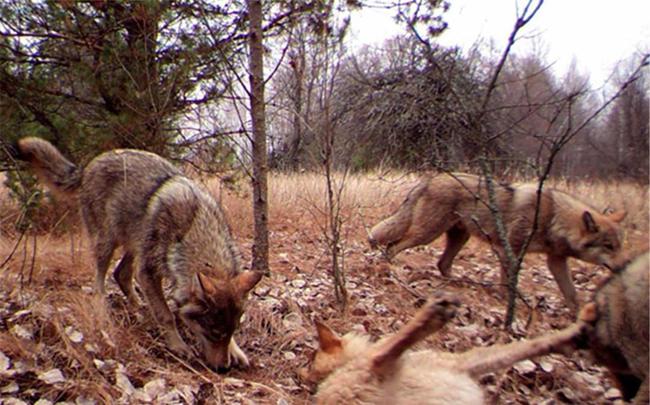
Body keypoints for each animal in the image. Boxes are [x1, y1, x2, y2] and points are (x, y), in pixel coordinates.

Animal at [15, 137, 258, 370]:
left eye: (232, 331)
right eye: (214, 333)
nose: (223, 368)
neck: (194, 228)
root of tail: (90, 164)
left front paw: (236, 352)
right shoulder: (148, 272)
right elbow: (166, 315)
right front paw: (178, 346)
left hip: (135, 244)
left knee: (120, 274)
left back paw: (139, 307)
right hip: (108, 242)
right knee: (100, 281)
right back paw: (103, 309)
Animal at [302, 292, 588, 402]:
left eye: (310, 358)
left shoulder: (463, 363)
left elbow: (527, 345)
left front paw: (574, 333)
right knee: (385, 353)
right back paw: (433, 313)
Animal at [368, 172, 624, 310]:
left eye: (620, 246)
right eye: (609, 246)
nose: (623, 267)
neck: (552, 216)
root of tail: (431, 179)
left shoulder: (556, 261)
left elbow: (571, 294)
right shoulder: (508, 250)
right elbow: (508, 281)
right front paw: (506, 300)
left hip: (459, 237)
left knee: (442, 264)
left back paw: (462, 284)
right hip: (427, 234)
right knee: (393, 246)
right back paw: (389, 269)